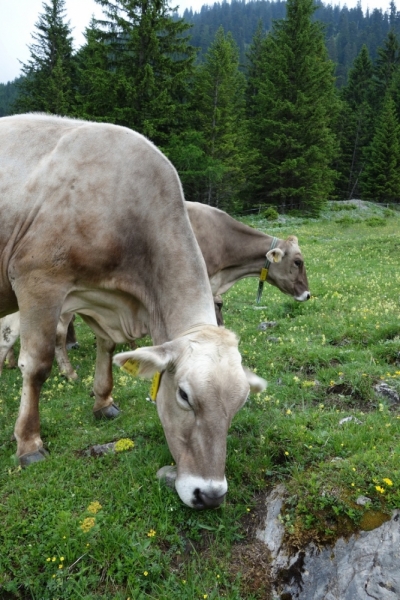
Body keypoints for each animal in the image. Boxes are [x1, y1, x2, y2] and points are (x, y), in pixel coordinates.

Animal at [0, 115, 268, 508]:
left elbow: (107, 350)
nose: (209, 494)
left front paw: (103, 402)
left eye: (240, 403)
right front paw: (29, 444)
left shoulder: (101, 300)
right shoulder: (38, 280)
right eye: (184, 395)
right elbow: (37, 366)